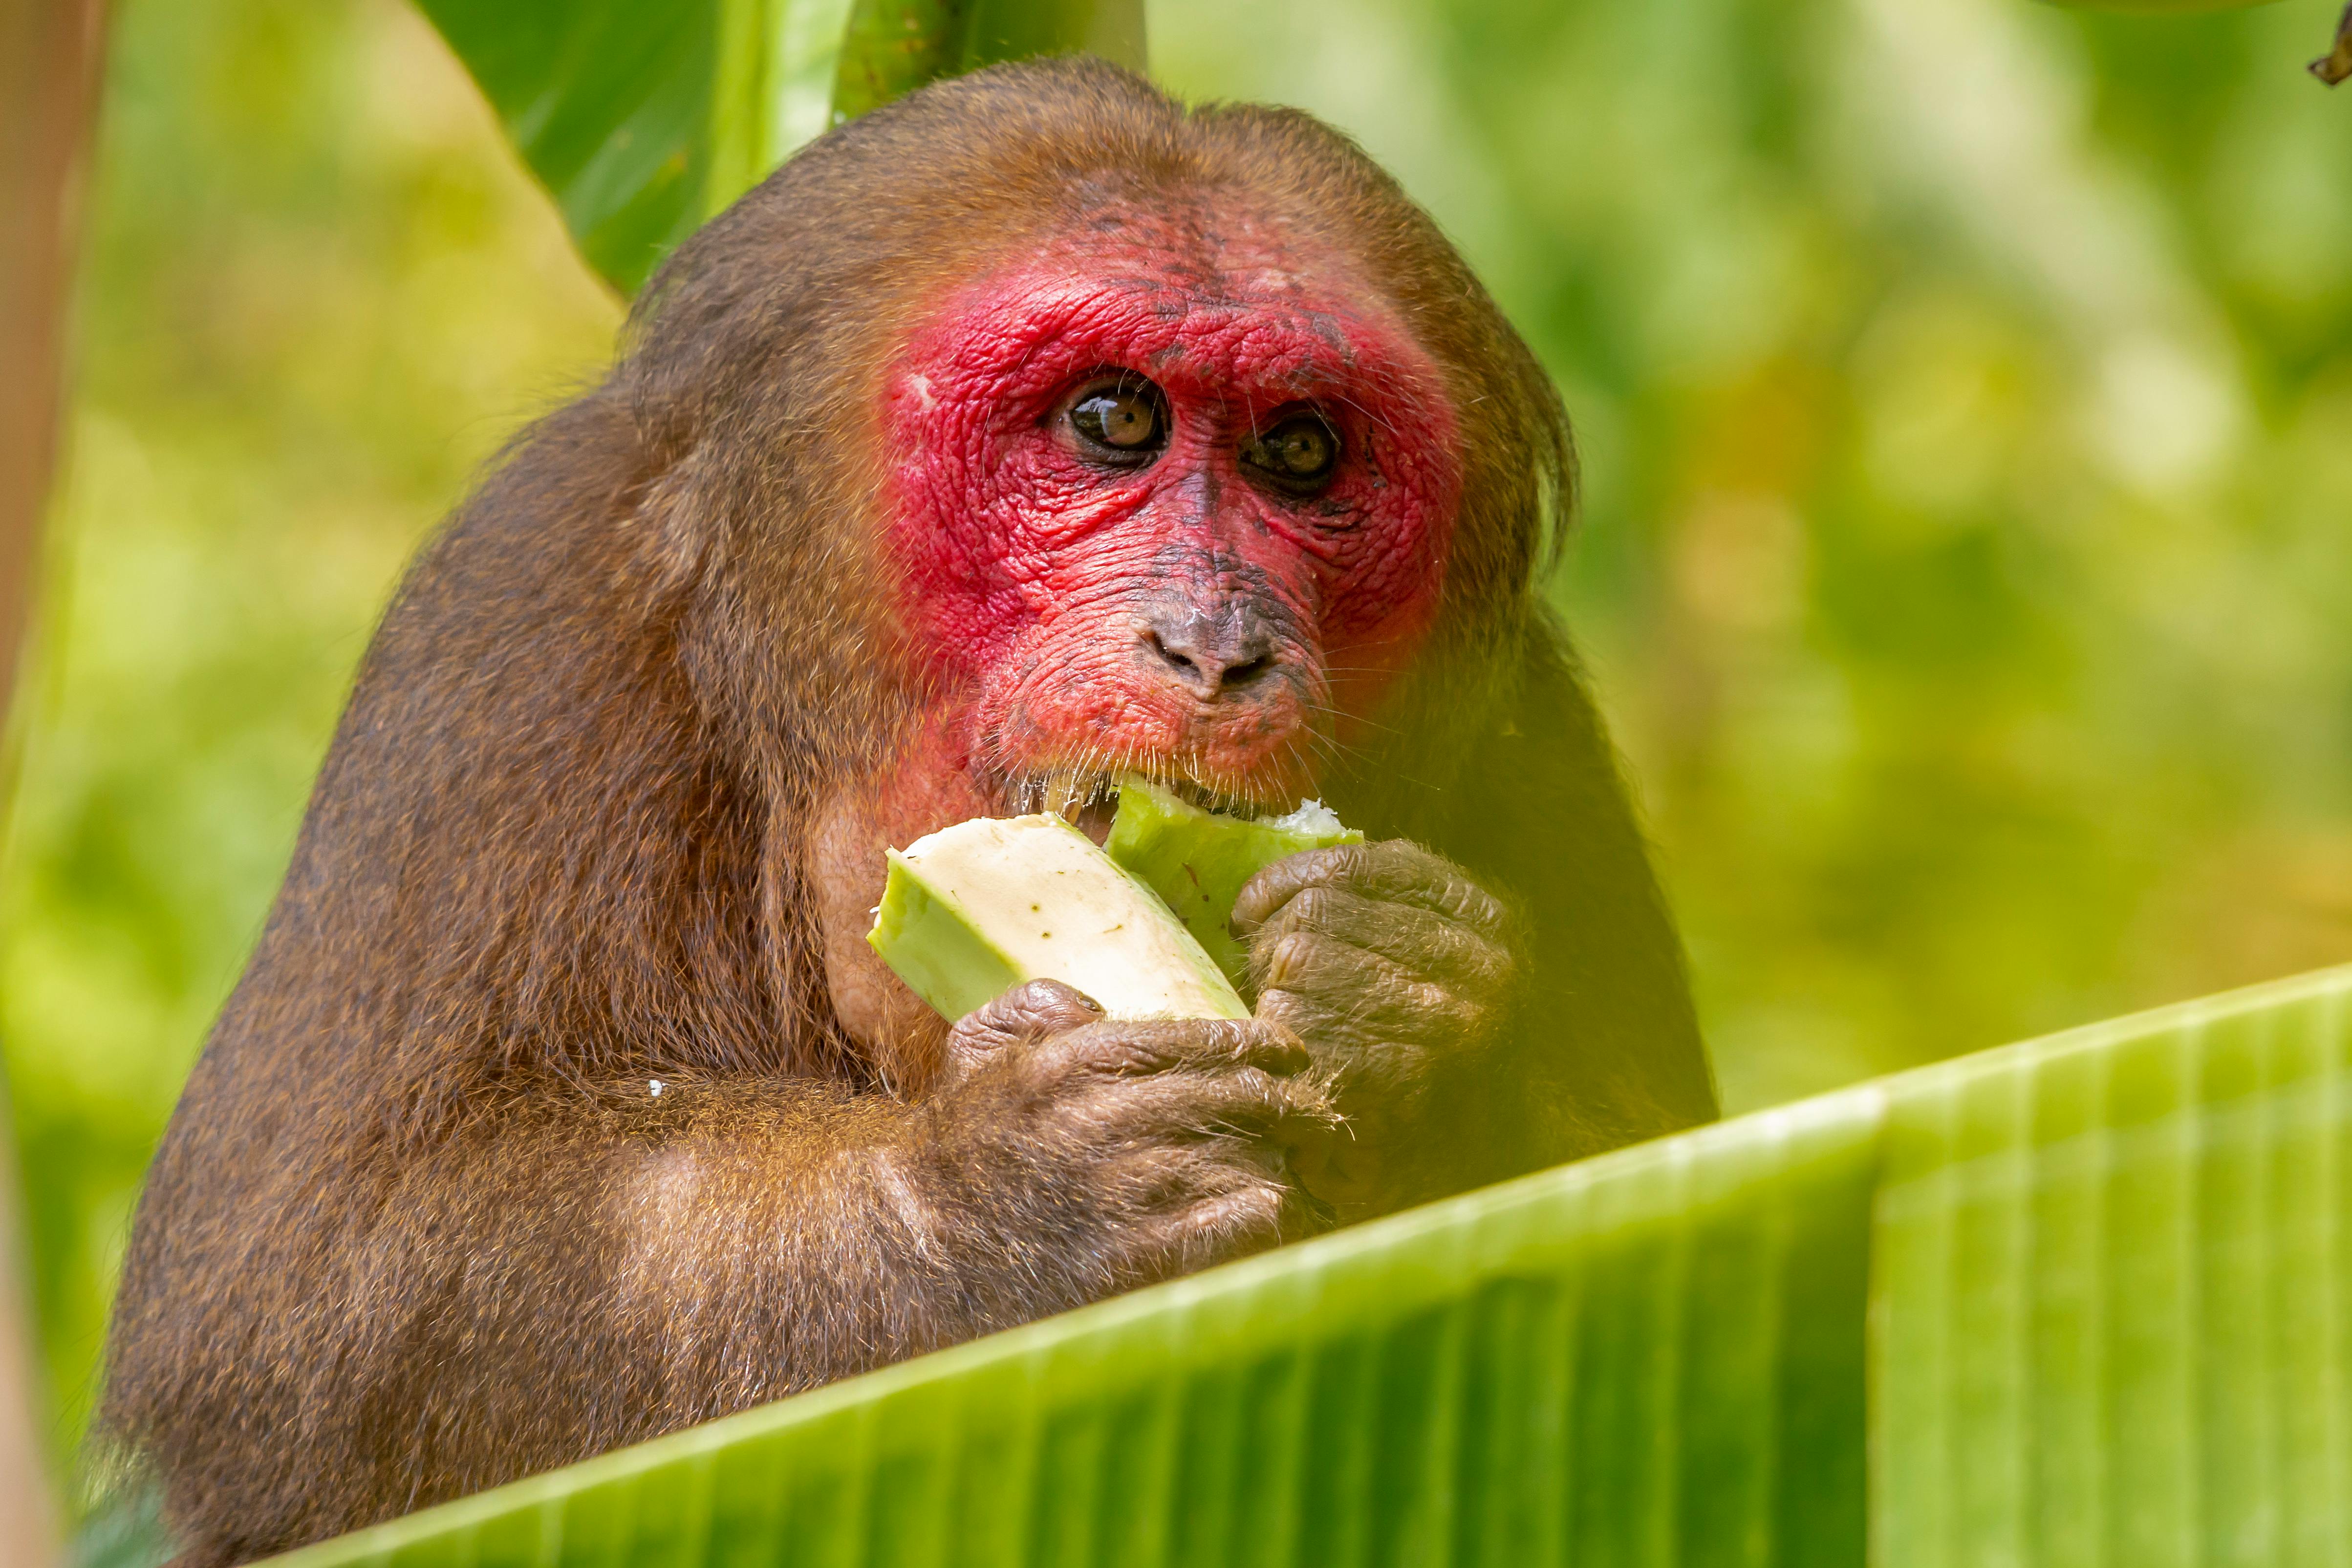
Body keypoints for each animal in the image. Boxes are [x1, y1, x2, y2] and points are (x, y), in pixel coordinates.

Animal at [96, 55, 1712, 1561]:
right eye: (1113, 420)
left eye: (1301, 451)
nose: (1214, 640)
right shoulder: (522, 609)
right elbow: (316, 1289)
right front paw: (990, 1195)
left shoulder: (1530, 725)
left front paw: (1412, 1006)